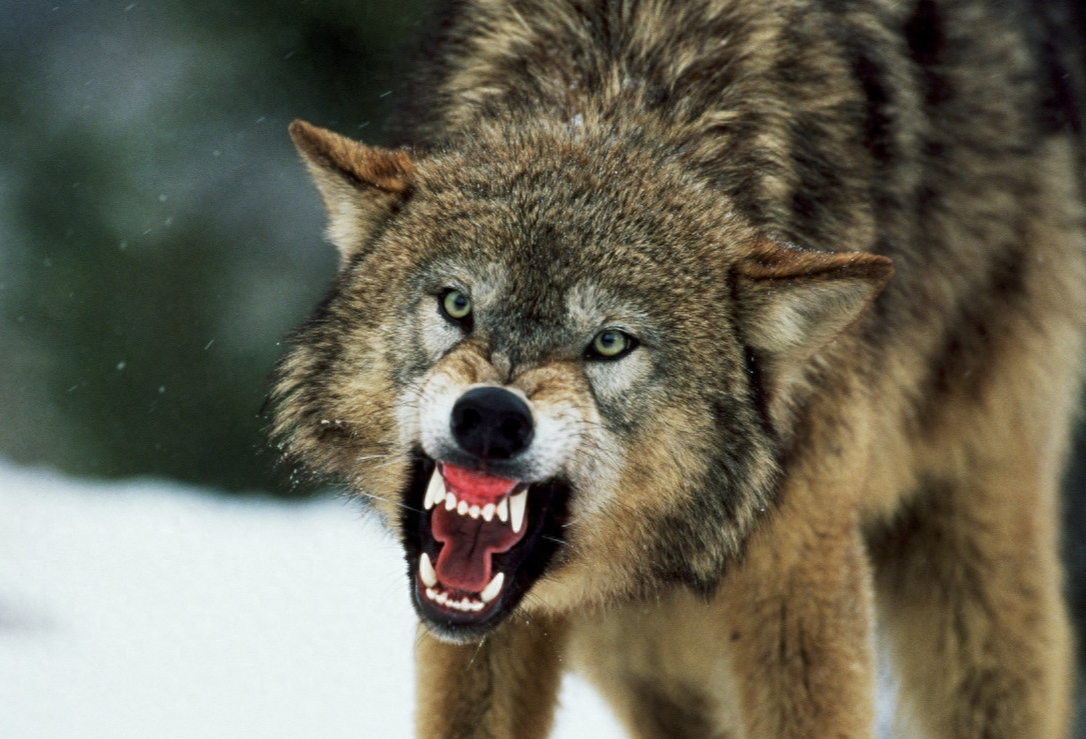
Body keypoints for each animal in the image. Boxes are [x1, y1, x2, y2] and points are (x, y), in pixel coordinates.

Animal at [271, 0, 1086, 734]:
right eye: (456, 302)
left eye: (610, 343)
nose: (492, 416)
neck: (620, 86)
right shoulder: (481, 624)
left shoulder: (798, 583)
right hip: (637, 652)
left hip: (972, 563)